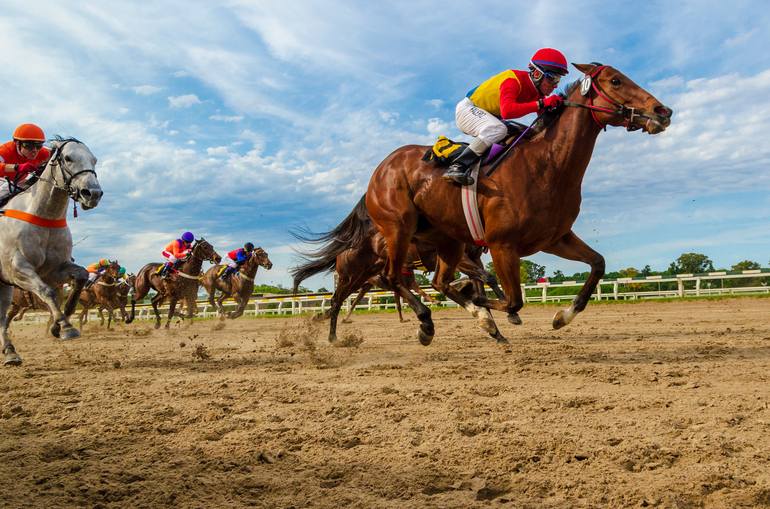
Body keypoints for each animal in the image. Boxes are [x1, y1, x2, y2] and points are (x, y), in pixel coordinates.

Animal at [0, 137, 101, 364]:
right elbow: (46, 291)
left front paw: (58, 324)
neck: (44, 215)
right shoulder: (17, 269)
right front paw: (65, 326)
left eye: (94, 160)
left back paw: (10, 352)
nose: (93, 193)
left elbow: (80, 277)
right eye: (68, 158)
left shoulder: (54, 269)